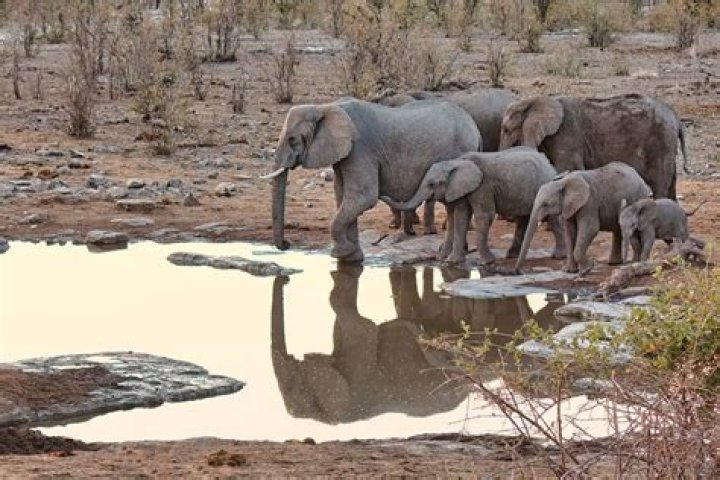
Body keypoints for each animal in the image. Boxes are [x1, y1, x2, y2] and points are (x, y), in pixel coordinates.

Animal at [270, 98, 481, 263]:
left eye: (292, 139)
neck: (325, 107)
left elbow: (363, 197)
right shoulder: (344, 153)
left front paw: (342, 253)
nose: (286, 244)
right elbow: (343, 197)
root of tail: (475, 129)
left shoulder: (360, 149)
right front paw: (352, 258)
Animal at [381, 148, 565, 265]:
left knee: (551, 219)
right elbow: (460, 216)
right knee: (523, 219)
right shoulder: (464, 189)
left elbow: (484, 215)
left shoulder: (483, 186)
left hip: (545, 187)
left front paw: (487, 262)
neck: (456, 162)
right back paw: (512, 256)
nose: (382, 194)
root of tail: (550, 164)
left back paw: (557, 257)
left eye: (432, 184)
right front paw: (451, 261)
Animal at [498, 93, 688, 199]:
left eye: (506, 130)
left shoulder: (566, 137)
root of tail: (676, 118)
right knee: (671, 182)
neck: (535, 100)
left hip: (660, 141)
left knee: (659, 181)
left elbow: (567, 169)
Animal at [515, 162, 653, 273]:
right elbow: (569, 232)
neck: (563, 182)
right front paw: (570, 271)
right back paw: (614, 263)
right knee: (618, 230)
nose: (519, 272)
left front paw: (588, 268)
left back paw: (632, 263)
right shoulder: (568, 205)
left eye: (545, 204)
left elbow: (591, 229)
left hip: (638, 198)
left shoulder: (589, 202)